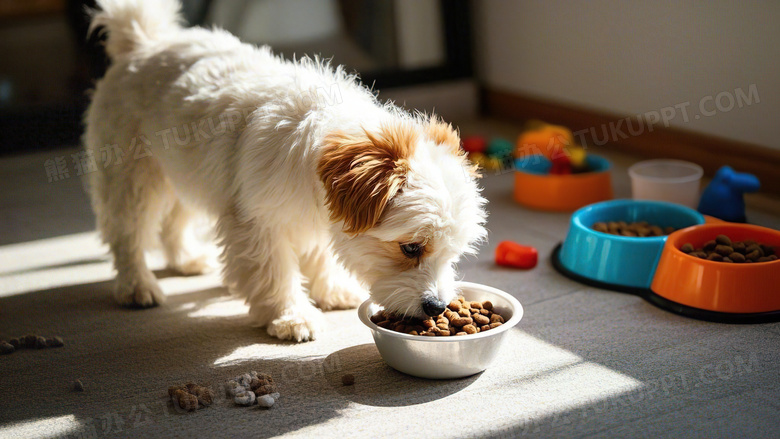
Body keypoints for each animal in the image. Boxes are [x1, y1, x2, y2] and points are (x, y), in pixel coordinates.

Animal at [87, 0, 488, 344]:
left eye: (452, 253)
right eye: (410, 247)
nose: (437, 307)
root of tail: (141, 41)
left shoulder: (319, 218)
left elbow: (321, 257)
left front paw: (330, 291)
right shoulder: (257, 223)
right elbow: (275, 272)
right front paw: (293, 316)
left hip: (187, 173)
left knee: (174, 219)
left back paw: (185, 260)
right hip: (133, 179)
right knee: (126, 234)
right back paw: (137, 286)